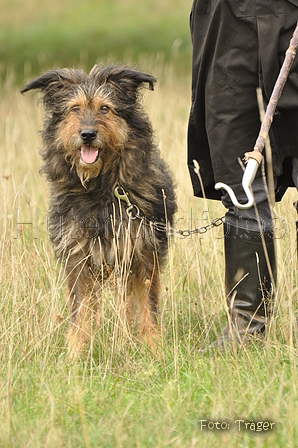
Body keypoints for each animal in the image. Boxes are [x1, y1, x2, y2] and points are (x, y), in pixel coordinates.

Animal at [22, 64, 177, 356]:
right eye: (74, 109)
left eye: (105, 108)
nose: (87, 134)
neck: (100, 188)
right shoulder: (77, 257)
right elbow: (80, 310)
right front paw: (76, 352)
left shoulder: (142, 252)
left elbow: (147, 305)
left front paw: (153, 347)